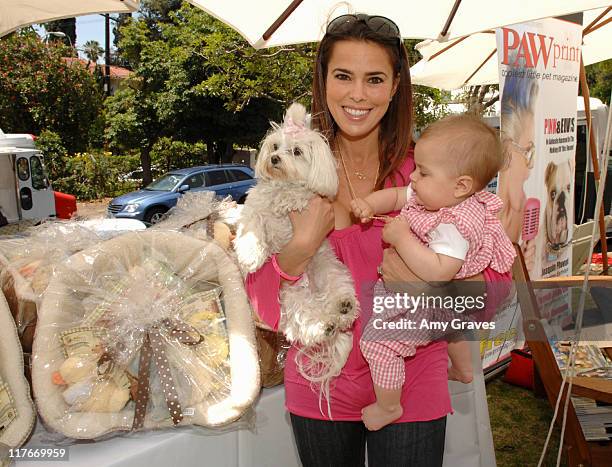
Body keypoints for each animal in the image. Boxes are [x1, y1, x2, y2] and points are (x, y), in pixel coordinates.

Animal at [234, 104, 358, 414]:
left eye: (297, 151)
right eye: (275, 146)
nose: (275, 158)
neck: (282, 184)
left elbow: (297, 194)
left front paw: (290, 197)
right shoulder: (254, 210)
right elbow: (252, 229)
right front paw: (251, 256)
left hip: (329, 268)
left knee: (338, 295)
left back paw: (343, 308)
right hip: (290, 299)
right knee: (305, 322)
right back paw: (323, 325)